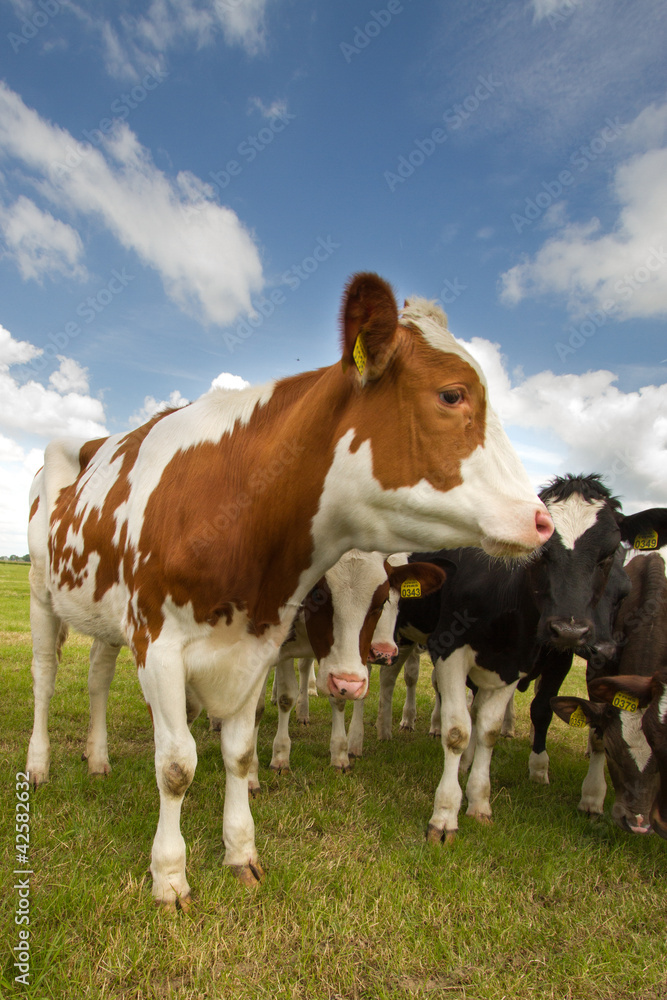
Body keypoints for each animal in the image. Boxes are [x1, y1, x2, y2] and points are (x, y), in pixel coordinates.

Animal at [26, 272, 552, 908]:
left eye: (385, 599)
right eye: (453, 395)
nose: (542, 520)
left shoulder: (256, 645)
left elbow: (238, 751)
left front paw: (240, 852)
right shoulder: (159, 644)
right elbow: (176, 765)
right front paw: (170, 876)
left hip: (104, 617)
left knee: (98, 679)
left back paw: (98, 758)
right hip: (42, 594)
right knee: (46, 678)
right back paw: (39, 765)